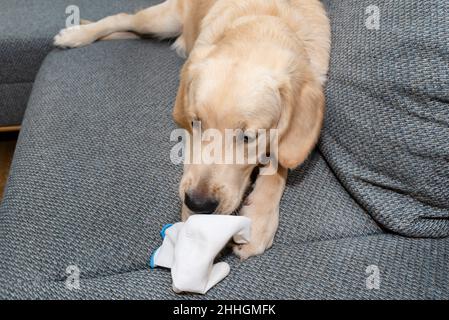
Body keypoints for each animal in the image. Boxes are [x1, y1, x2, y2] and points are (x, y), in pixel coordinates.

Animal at [54, 0, 330, 260]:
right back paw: (76, 34)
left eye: (248, 137)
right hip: (162, 20)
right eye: (197, 122)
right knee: (123, 18)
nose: (198, 203)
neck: (264, 21)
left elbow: (280, 162)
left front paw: (260, 216)